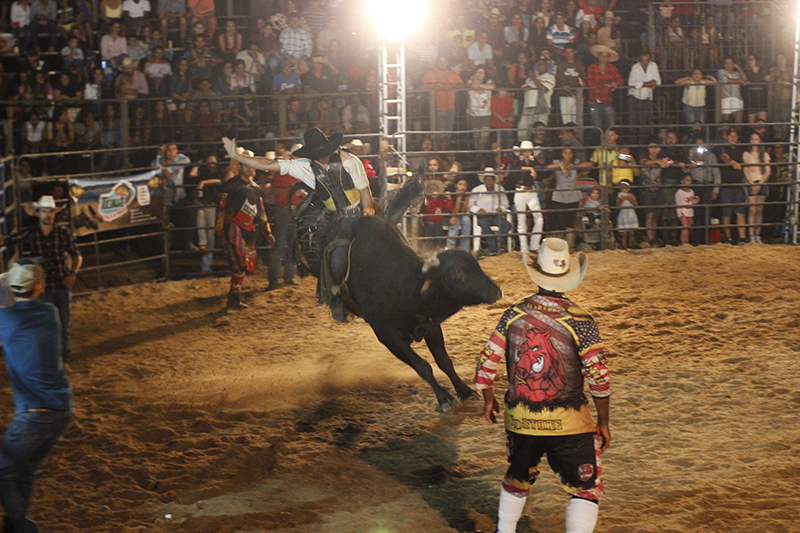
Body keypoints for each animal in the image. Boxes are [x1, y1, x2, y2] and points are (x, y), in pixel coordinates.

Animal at [294, 183, 500, 412]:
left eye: (476, 266)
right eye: (457, 273)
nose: (495, 291)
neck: (405, 286)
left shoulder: (429, 324)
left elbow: (444, 360)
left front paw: (465, 391)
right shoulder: (387, 335)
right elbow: (423, 366)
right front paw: (445, 399)